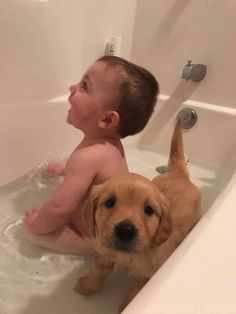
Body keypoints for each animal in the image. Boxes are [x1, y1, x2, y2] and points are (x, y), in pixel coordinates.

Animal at [75, 119, 201, 312]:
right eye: (109, 202)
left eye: (149, 210)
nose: (125, 230)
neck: (127, 256)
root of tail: (180, 174)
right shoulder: (104, 255)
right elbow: (96, 274)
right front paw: (86, 287)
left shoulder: (146, 277)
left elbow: (132, 295)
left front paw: (124, 308)